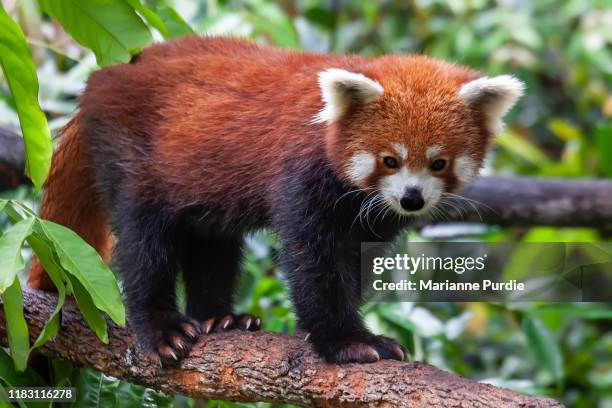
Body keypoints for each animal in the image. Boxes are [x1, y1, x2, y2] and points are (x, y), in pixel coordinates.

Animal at [28, 36, 524, 364]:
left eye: (438, 163)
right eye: (390, 159)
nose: (411, 199)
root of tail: (103, 77)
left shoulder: (368, 213)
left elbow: (353, 261)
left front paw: (320, 330)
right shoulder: (301, 175)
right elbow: (313, 260)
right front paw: (346, 340)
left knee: (210, 242)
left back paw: (219, 317)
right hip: (134, 152)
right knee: (144, 242)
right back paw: (164, 327)